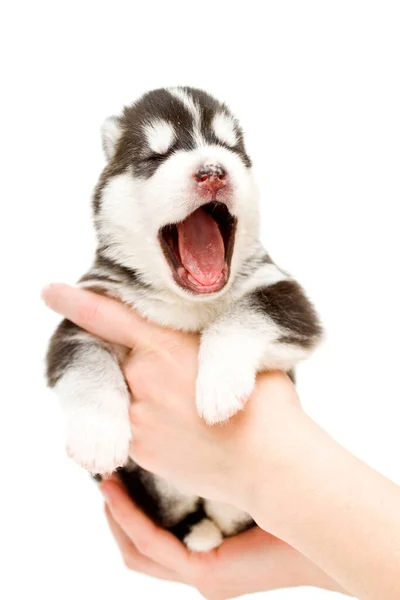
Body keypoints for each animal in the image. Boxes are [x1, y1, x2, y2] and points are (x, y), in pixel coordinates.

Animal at [47, 86, 322, 552]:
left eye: (231, 148)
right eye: (156, 156)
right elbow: (87, 366)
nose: (212, 171)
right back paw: (197, 531)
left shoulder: (285, 295)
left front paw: (219, 385)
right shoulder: (84, 314)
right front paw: (98, 434)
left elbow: (241, 317)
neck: (187, 301)